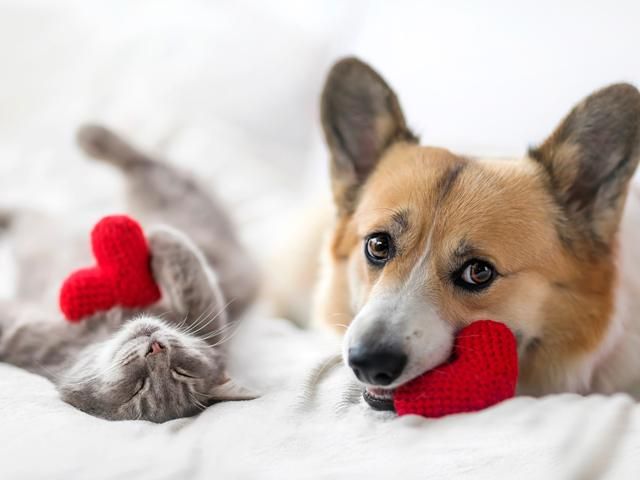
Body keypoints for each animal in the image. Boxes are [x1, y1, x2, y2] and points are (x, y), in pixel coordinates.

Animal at [1, 125, 260, 422]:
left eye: (179, 373)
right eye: (138, 388)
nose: (156, 348)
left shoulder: (209, 319)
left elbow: (187, 271)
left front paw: (156, 236)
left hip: (168, 197)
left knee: (148, 167)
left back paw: (93, 138)